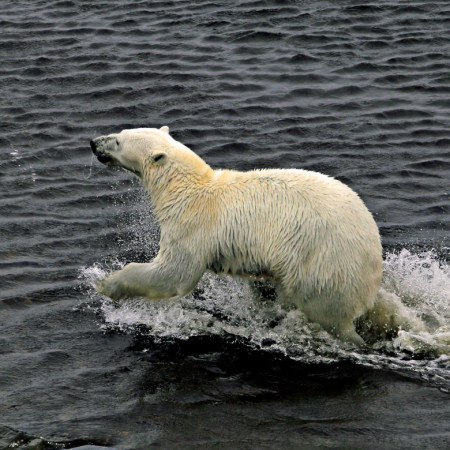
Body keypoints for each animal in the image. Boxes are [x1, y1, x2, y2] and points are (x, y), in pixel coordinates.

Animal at [89, 126, 394, 344]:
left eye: (118, 142)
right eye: (120, 132)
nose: (94, 142)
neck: (187, 187)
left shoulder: (192, 224)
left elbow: (174, 273)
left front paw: (106, 284)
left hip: (322, 264)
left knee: (325, 311)